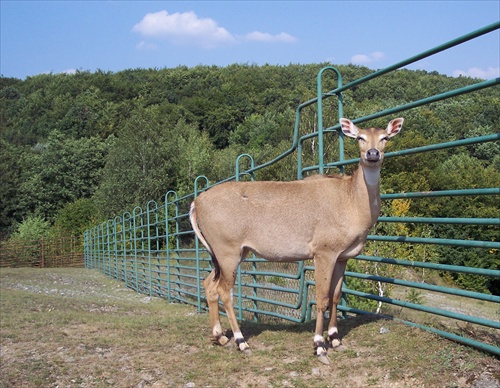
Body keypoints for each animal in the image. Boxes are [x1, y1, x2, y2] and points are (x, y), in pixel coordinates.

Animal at [189, 117, 404, 364]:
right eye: (360, 137)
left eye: (384, 137)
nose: (372, 153)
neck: (351, 200)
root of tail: (196, 203)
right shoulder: (323, 253)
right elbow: (321, 297)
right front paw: (320, 346)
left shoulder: (342, 257)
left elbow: (336, 296)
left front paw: (335, 339)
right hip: (227, 252)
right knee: (224, 291)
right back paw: (241, 342)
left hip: (228, 253)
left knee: (209, 284)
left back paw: (220, 336)